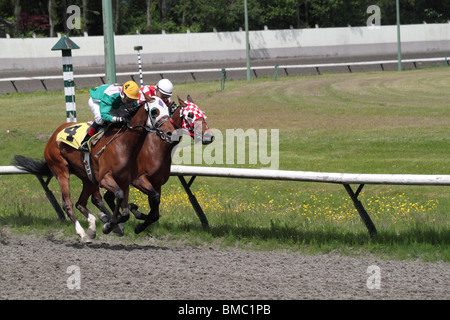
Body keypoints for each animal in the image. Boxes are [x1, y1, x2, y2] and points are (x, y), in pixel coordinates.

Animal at [13, 95, 176, 242]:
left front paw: (115, 223)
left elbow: (126, 211)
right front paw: (109, 225)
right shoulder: (106, 179)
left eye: (168, 110)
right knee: (68, 204)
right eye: (154, 111)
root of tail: (53, 136)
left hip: (88, 177)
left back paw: (92, 228)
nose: (170, 133)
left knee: (81, 203)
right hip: (61, 171)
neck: (123, 145)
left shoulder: (125, 181)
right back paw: (82, 233)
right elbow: (118, 196)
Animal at [104, 94, 214, 232]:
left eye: (203, 114)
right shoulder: (139, 180)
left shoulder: (156, 184)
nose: (210, 136)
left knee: (108, 196)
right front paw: (136, 218)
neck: (157, 147)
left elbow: (155, 212)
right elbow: (154, 203)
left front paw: (139, 222)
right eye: (190, 115)